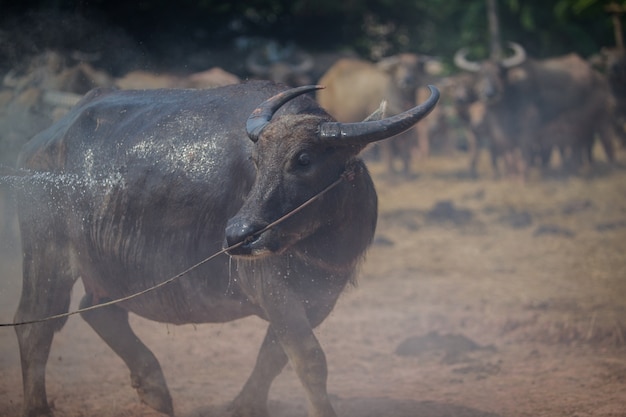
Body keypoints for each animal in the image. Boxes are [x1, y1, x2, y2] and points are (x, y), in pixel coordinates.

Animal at [12, 79, 436, 416]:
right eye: (257, 160)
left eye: (303, 159)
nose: (238, 234)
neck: (317, 240)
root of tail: (38, 146)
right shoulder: (271, 286)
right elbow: (309, 359)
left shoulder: (321, 296)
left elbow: (274, 355)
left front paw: (244, 406)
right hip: (46, 249)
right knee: (35, 324)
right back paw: (39, 407)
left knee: (97, 310)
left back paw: (155, 390)